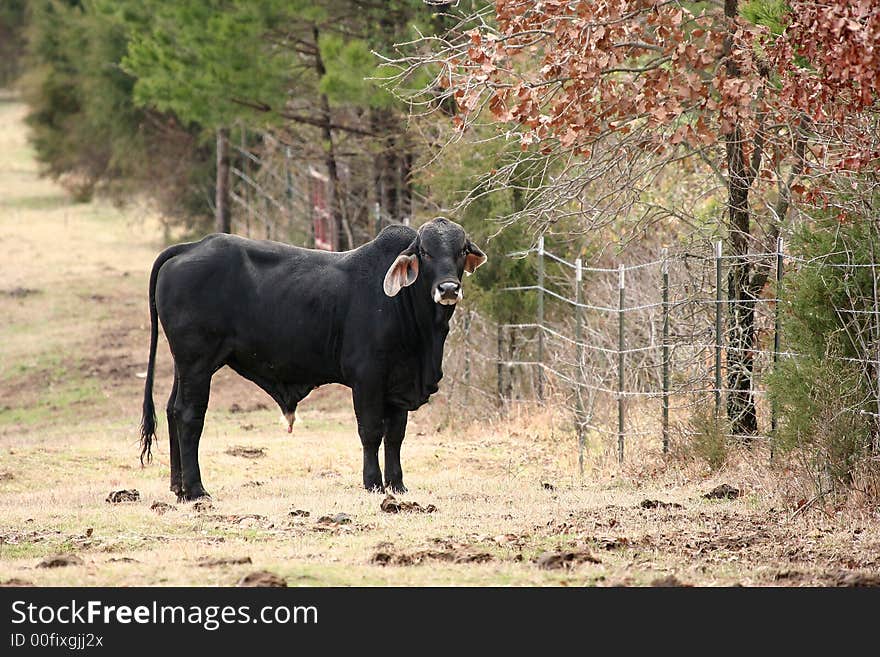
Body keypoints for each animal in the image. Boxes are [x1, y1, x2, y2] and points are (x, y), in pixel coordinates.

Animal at [139, 218, 488, 500]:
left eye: (460, 250)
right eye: (425, 252)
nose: (448, 288)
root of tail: (191, 247)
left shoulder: (398, 383)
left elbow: (395, 436)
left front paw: (397, 484)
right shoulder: (368, 379)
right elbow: (371, 431)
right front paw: (373, 483)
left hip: (184, 366)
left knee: (171, 410)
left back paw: (178, 487)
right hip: (197, 364)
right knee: (188, 416)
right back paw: (196, 490)